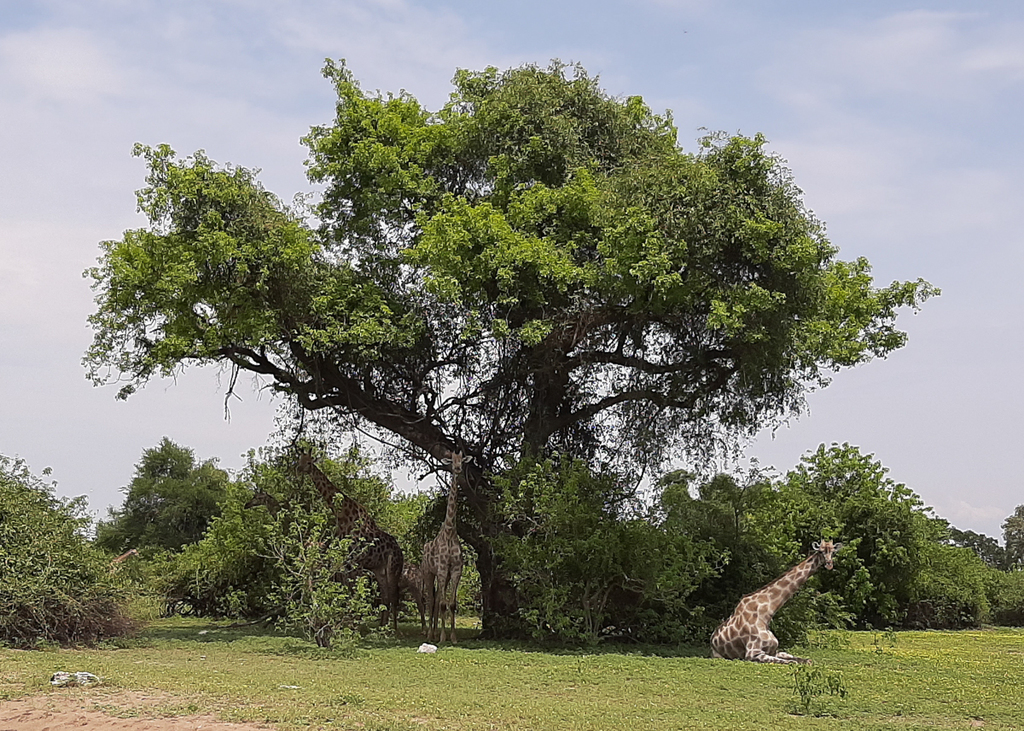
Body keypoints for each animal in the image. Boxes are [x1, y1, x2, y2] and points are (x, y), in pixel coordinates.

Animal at [295, 452, 404, 633]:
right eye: (299, 460)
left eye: (309, 462)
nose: (297, 469)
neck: (342, 516)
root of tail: (401, 551)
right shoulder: (345, 562)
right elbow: (347, 590)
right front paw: (345, 623)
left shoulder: (356, 562)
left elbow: (354, 591)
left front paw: (353, 624)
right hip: (379, 570)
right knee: (386, 595)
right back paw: (381, 627)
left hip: (393, 568)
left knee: (394, 594)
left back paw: (393, 630)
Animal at [710, 539, 842, 664]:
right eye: (820, 551)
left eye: (833, 552)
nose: (829, 564)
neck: (766, 614)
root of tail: (712, 639)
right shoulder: (752, 653)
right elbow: (791, 662)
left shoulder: (774, 651)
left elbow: (804, 660)